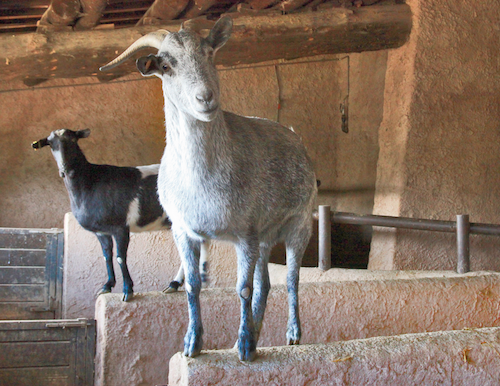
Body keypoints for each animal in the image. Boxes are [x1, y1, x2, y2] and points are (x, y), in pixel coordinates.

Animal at [100, 17, 316, 362]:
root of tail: (295, 137)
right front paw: (193, 344)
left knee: (292, 279)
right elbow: (193, 285)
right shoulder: (184, 230)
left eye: (210, 53)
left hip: (299, 223)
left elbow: (243, 288)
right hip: (266, 236)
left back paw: (292, 334)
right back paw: (257, 332)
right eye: (165, 65)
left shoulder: (245, 232)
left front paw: (244, 347)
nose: (205, 98)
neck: (203, 181)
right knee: (266, 284)